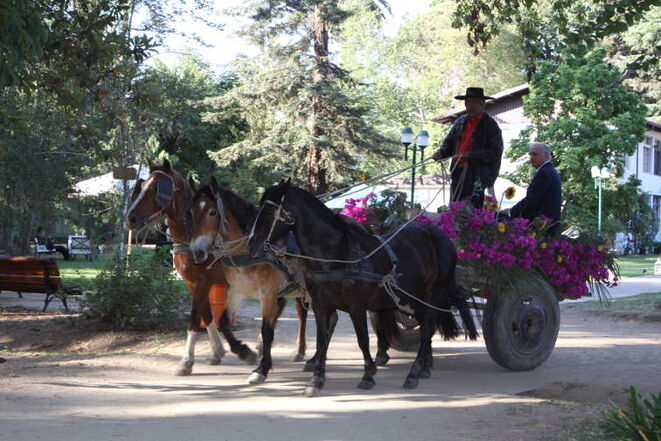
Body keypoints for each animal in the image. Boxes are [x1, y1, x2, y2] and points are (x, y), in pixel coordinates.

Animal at [125, 160, 260, 372]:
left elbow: (197, 318)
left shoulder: (205, 281)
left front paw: (187, 361)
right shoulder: (192, 282)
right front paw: (217, 352)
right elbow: (207, 316)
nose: (131, 218)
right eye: (143, 185)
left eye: (156, 189)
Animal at [248, 179, 474, 396]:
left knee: (427, 327)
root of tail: (440, 235)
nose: (251, 243)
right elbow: (322, 341)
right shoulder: (321, 306)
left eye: (269, 211)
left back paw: (414, 373)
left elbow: (362, 340)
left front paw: (368, 376)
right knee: (428, 327)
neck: (339, 255)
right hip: (413, 297)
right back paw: (425, 366)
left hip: (432, 294)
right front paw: (316, 380)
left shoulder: (356, 307)